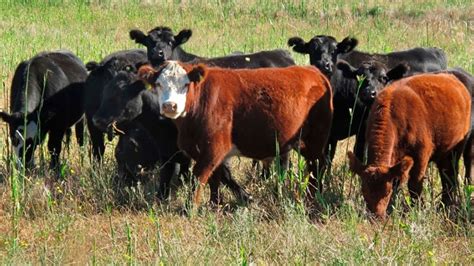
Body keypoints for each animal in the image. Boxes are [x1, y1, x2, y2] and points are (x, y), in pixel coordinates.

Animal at [90, 69, 250, 203]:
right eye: (105, 94)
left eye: (119, 96)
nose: (96, 120)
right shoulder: (167, 155)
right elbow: (167, 180)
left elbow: (221, 174)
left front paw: (243, 197)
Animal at [138, 60, 334, 206]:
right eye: (158, 84)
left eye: (186, 84)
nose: (170, 106)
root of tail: (314, 71)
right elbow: (216, 177)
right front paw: (215, 204)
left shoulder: (214, 147)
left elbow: (200, 175)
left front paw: (190, 208)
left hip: (315, 139)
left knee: (317, 165)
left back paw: (312, 197)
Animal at [346, 73, 472, 218]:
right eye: (364, 191)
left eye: (386, 192)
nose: (376, 216)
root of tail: (453, 78)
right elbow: (397, 181)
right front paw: (392, 208)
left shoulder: (421, 156)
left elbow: (414, 185)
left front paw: (417, 209)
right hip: (443, 154)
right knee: (446, 175)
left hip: (456, 150)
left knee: (451, 177)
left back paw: (446, 206)